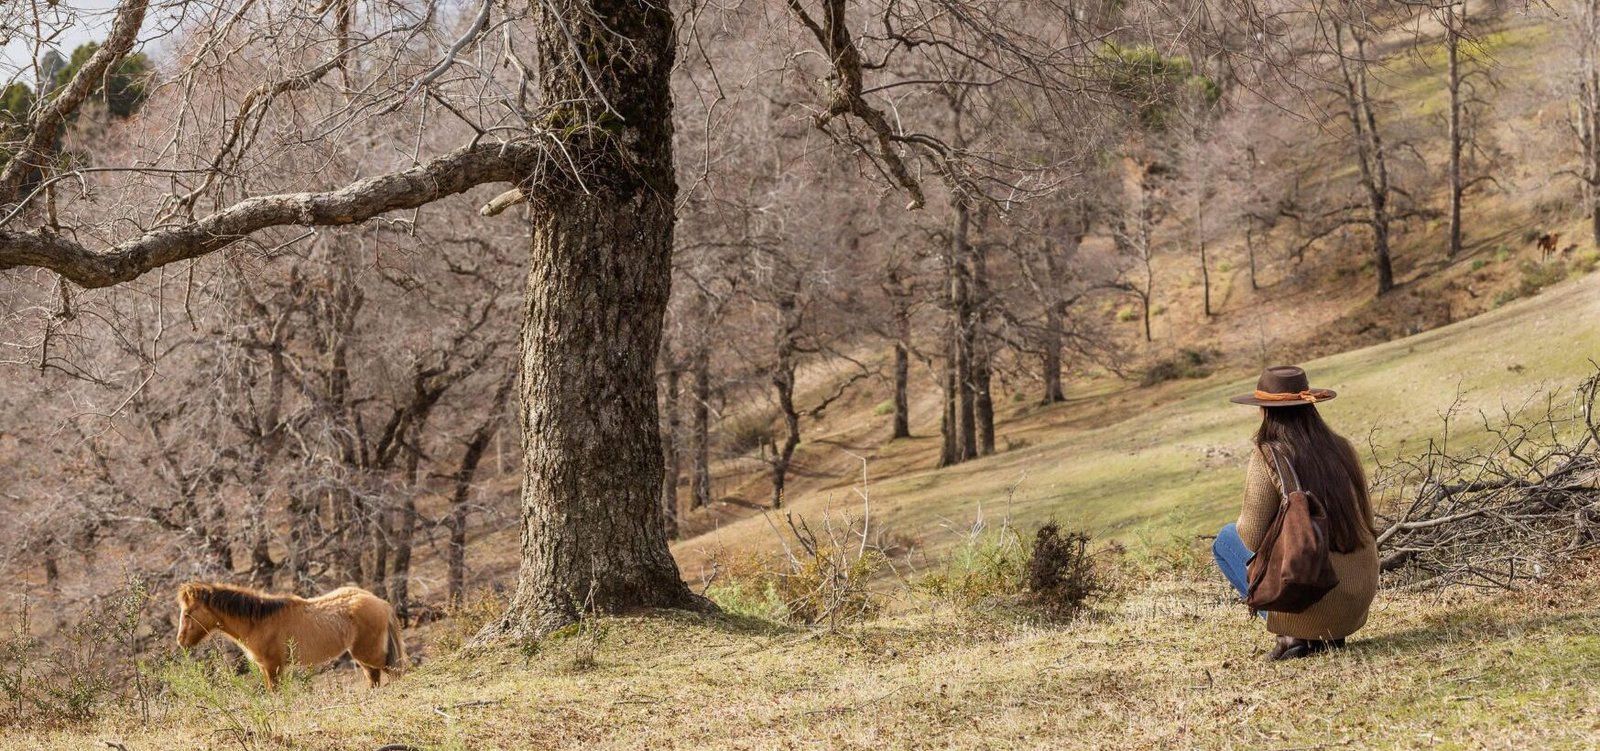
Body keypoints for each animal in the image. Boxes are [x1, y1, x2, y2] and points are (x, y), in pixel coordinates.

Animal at [175, 582, 407, 690]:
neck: (259, 621)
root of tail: (382, 603)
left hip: (370, 655)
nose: (180, 641)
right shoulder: (268, 668)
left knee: (394, 673)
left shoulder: (272, 667)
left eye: (187, 614)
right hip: (364, 658)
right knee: (375, 678)